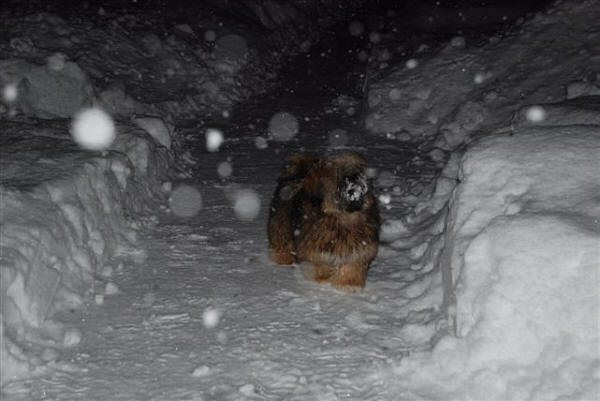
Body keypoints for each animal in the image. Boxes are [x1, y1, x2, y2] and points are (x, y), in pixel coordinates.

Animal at [268, 152, 380, 290]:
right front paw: (324, 279)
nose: (354, 179)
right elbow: (320, 264)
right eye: (339, 172)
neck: (345, 218)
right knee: (281, 237)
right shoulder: (314, 248)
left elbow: (352, 266)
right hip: (280, 219)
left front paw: (348, 285)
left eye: (358, 171)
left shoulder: (359, 249)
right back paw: (282, 256)